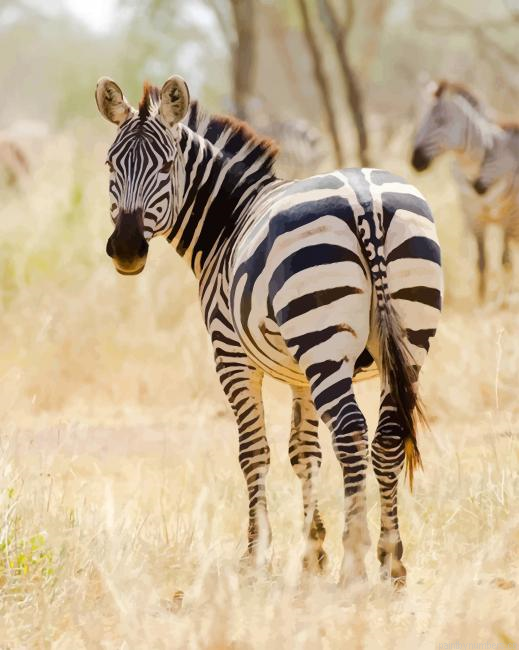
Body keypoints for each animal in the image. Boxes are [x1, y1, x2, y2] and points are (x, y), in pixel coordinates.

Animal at [96, 75, 442, 586]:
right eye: (110, 164)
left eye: (166, 165)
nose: (125, 249)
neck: (229, 220)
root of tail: (365, 200)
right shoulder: (301, 374)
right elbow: (304, 451)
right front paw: (312, 552)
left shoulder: (231, 356)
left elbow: (253, 451)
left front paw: (256, 556)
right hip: (407, 338)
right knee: (386, 437)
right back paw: (391, 561)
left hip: (322, 340)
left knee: (352, 434)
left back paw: (354, 564)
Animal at [411, 80, 516, 299]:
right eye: (422, 120)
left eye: (441, 121)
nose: (415, 161)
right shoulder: (472, 213)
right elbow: (481, 261)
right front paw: (482, 298)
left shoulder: (508, 215)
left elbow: (505, 262)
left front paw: (503, 299)